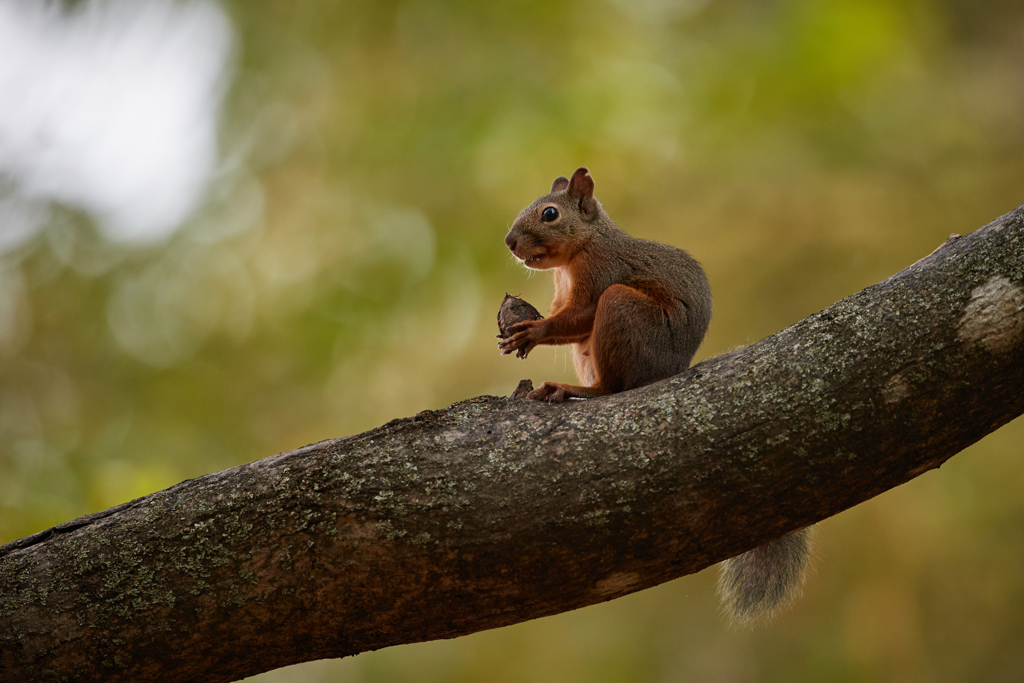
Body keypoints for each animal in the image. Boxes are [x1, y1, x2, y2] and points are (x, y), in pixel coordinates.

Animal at [499, 167, 811, 626]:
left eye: (550, 213)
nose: (509, 242)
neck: (582, 249)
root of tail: (671, 370)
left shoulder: (601, 272)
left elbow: (579, 314)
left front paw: (533, 331)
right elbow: (564, 316)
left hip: (623, 310)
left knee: (613, 387)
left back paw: (572, 390)